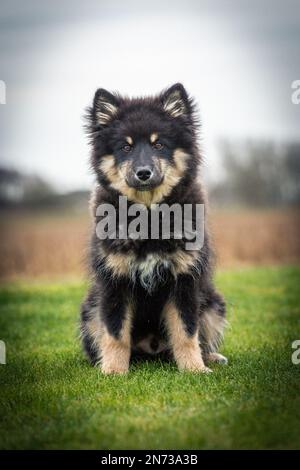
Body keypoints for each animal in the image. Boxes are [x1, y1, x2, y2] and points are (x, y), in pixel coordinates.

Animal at [81, 82, 226, 372]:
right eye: (125, 148)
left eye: (158, 144)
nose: (143, 173)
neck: (148, 216)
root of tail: (152, 349)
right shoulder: (115, 281)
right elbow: (115, 332)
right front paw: (113, 371)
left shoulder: (184, 280)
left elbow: (186, 330)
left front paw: (194, 369)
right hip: (90, 308)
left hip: (213, 302)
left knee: (201, 337)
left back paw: (211, 357)